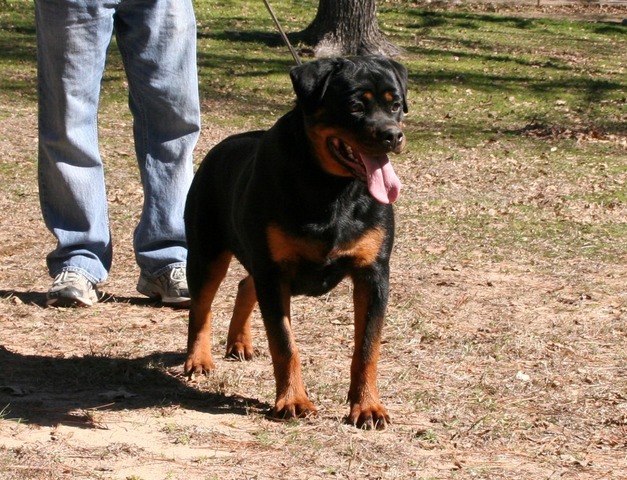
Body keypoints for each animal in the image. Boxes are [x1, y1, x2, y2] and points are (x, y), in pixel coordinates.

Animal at [184, 54, 410, 430]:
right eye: (355, 106)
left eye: (395, 105)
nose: (393, 135)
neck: (332, 190)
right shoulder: (274, 273)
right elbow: (284, 343)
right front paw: (292, 400)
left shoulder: (373, 273)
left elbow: (367, 347)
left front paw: (367, 406)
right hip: (207, 251)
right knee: (201, 306)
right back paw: (198, 360)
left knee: (245, 284)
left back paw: (239, 343)